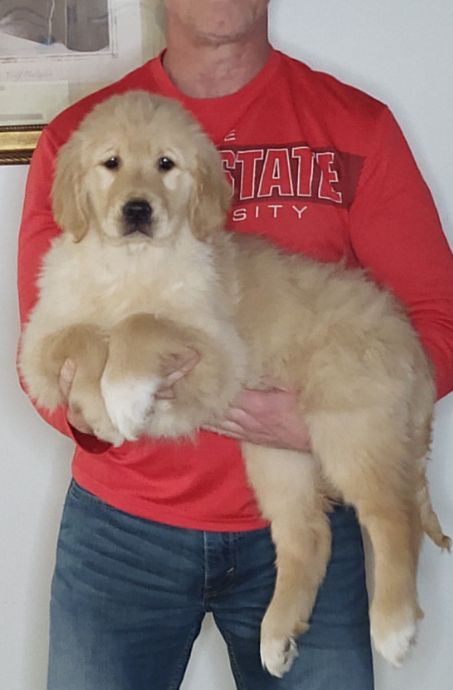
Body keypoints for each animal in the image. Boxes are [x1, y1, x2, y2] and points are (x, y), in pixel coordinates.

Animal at [18, 88, 448, 676]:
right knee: (308, 536)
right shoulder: (37, 345)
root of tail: (408, 338)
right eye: (111, 163)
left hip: (349, 423)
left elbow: (140, 324)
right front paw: (100, 409)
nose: (137, 210)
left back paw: (394, 625)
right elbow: (81, 337)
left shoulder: (219, 348)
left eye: (166, 164)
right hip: (277, 457)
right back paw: (276, 636)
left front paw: (123, 395)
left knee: (392, 514)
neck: (129, 265)